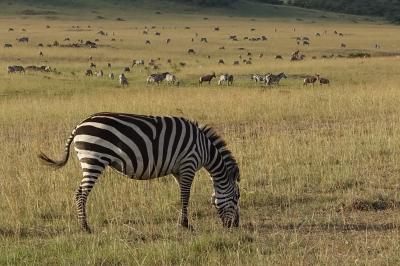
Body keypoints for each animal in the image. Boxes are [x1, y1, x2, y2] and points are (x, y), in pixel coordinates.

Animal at [39, 113, 241, 232]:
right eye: (237, 197)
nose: (236, 226)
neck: (205, 149)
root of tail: (80, 125)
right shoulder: (188, 164)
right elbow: (186, 196)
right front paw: (185, 224)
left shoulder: (179, 170)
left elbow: (181, 195)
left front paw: (182, 221)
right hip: (93, 159)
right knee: (80, 194)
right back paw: (85, 227)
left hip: (91, 160)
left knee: (79, 193)